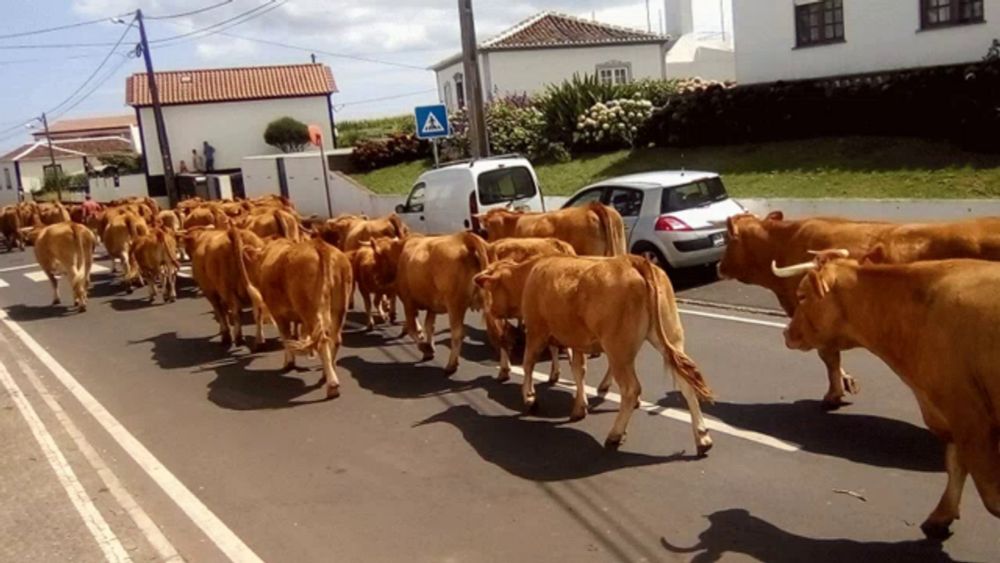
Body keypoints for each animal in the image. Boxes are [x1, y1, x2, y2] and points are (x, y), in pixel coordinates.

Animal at [236, 234, 354, 400]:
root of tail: (320, 246)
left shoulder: (279, 314)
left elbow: (286, 337)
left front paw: (289, 362)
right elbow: (297, 333)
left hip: (311, 310)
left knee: (322, 341)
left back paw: (332, 385)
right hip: (339, 306)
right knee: (335, 340)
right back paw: (326, 373)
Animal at [474, 256, 716, 454]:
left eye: (491, 288)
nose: (492, 310)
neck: (529, 273)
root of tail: (633, 260)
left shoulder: (536, 331)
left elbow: (528, 363)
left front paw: (530, 397)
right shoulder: (576, 340)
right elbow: (578, 370)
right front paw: (579, 408)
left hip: (618, 350)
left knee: (631, 390)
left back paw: (615, 435)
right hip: (670, 337)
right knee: (686, 382)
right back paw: (702, 437)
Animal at [780, 252, 1000, 540]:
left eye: (803, 294)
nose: (786, 332)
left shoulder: (969, 416)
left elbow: (989, 494)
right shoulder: (953, 415)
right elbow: (956, 465)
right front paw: (940, 517)